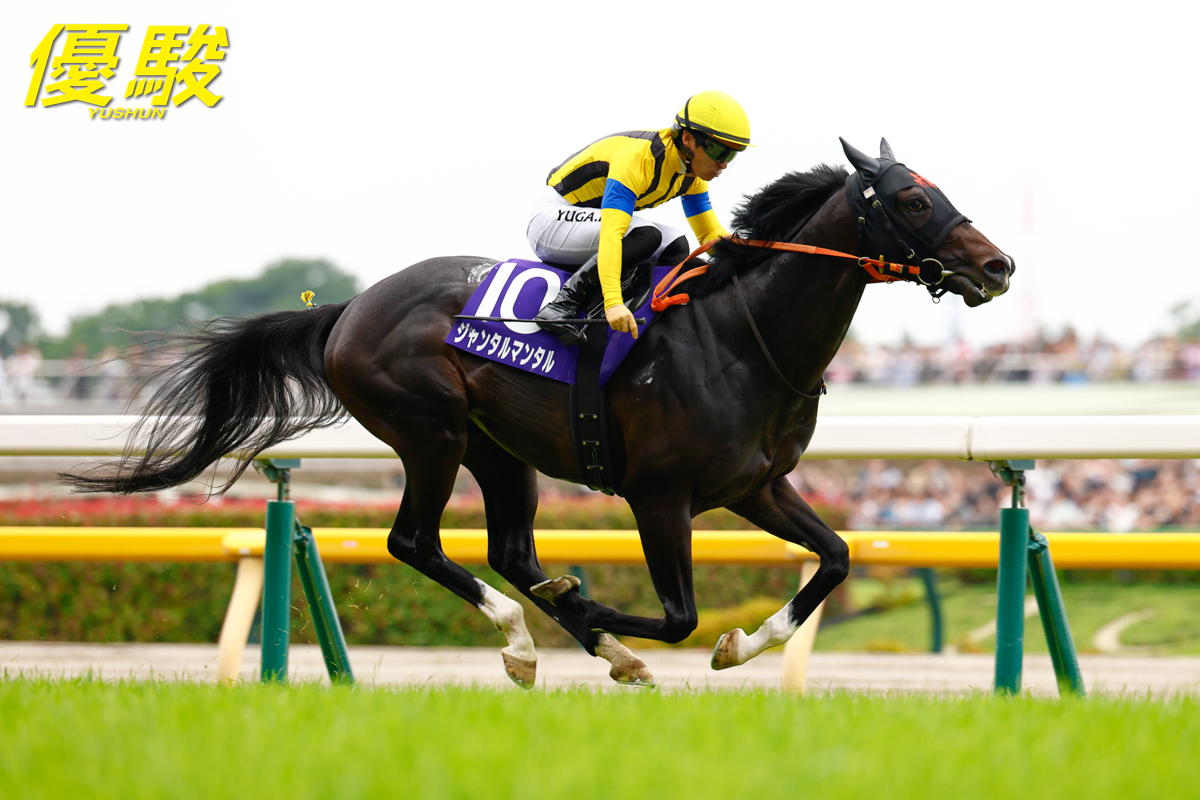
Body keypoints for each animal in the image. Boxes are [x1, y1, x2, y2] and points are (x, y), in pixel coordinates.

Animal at [64, 138, 1014, 688]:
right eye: (914, 200)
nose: (998, 266)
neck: (741, 337)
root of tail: (349, 309)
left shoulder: (757, 487)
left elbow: (837, 558)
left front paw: (740, 643)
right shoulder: (660, 495)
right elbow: (680, 615)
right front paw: (601, 612)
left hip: (501, 451)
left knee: (511, 551)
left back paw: (572, 635)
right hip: (431, 429)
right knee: (415, 542)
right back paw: (528, 638)